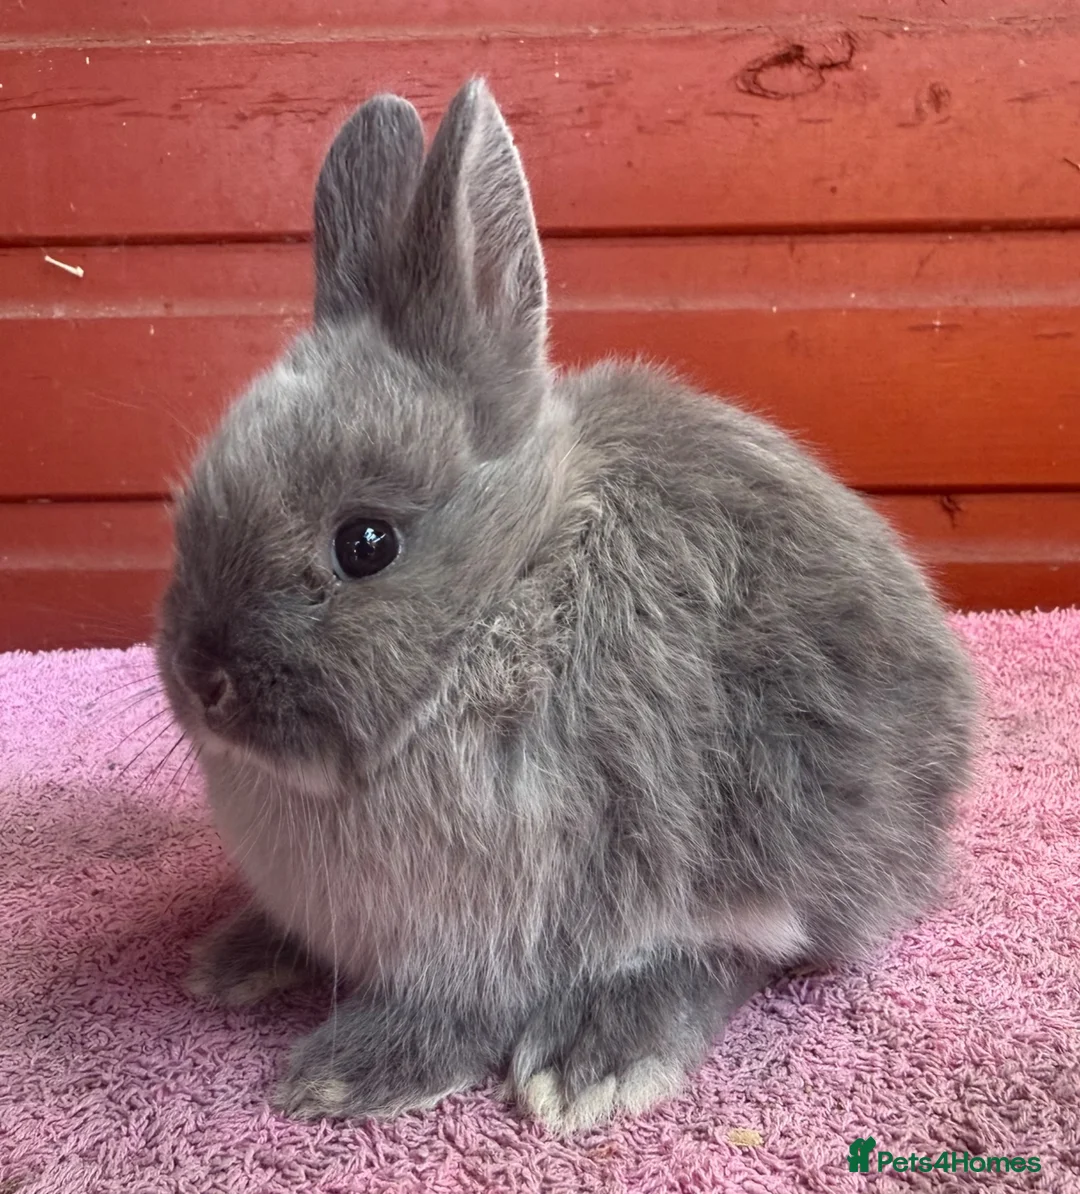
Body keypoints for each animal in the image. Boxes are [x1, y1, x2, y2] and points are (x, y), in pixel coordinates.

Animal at [156, 77, 977, 1134]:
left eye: (366, 544)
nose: (202, 678)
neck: (507, 602)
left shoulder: (506, 912)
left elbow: (468, 1005)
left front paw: (346, 1074)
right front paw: (245, 957)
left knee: (728, 953)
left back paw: (592, 1060)